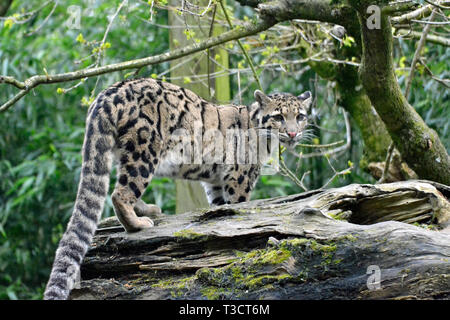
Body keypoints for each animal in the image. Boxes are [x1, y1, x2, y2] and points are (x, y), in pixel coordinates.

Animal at [45, 78, 312, 300]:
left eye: (300, 116)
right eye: (278, 116)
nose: (292, 133)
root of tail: (106, 94)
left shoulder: (216, 183)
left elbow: (220, 207)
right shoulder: (240, 178)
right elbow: (240, 206)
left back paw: (148, 209)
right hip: (144, 151)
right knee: (120, 192)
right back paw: (139, 223)